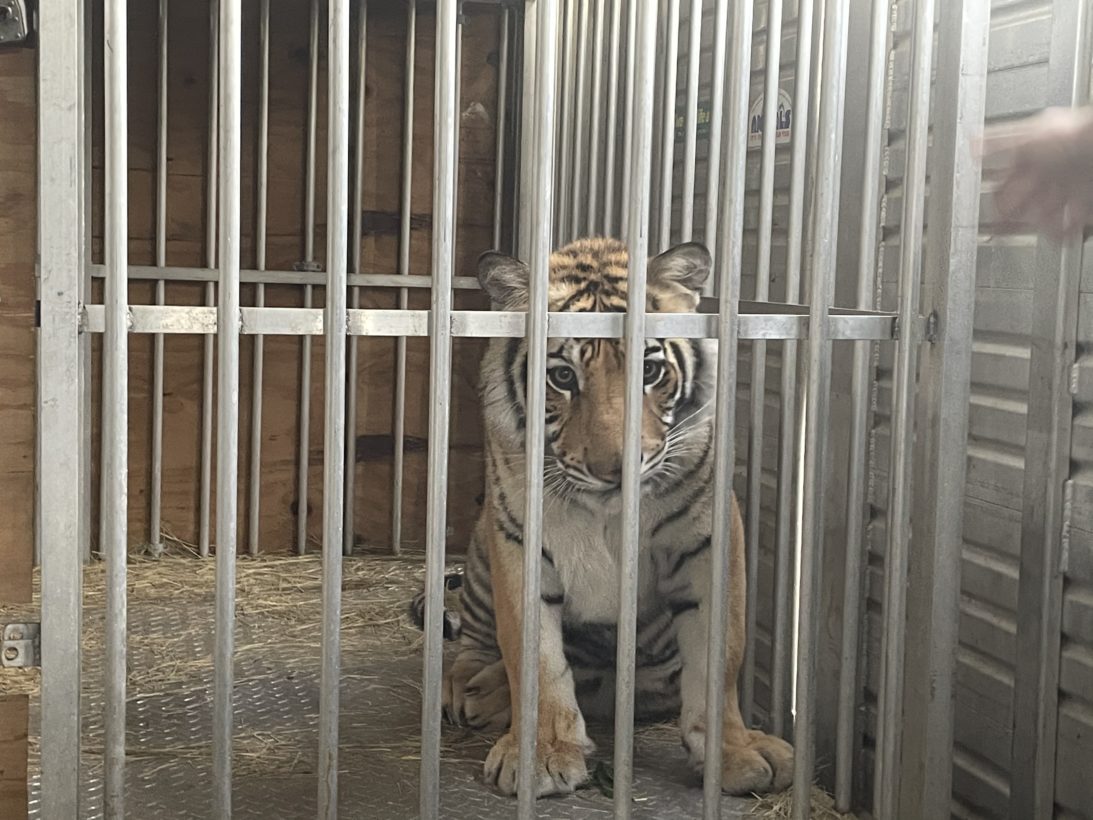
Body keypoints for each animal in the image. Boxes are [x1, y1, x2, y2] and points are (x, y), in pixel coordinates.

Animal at [409, 236, 793, 798]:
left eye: (650, 371)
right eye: (563, 377)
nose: (616, 471)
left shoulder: (708, 540)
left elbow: (721, 657)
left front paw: (736, 754)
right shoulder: (518, 539)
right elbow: (533, 656)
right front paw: (540, 755)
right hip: (482, 551)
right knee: (479, 643)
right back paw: (474, 687)